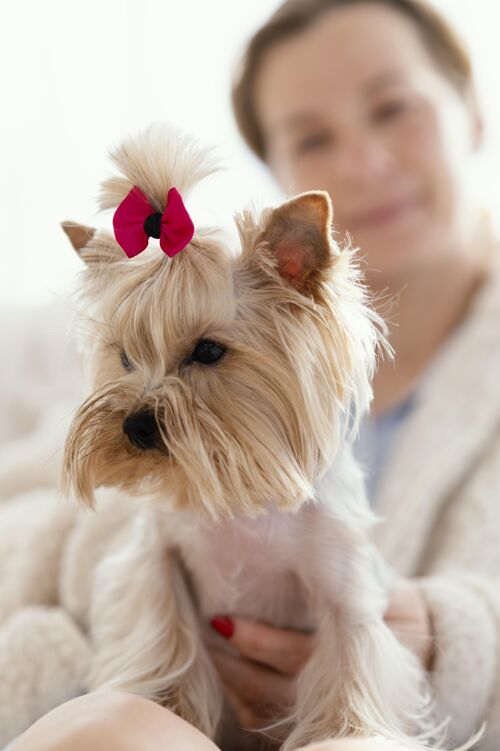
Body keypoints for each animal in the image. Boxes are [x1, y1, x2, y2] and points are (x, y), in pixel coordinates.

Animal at [60, 123, 444, 751]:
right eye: (125, 356)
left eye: (209, 351)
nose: (134, 426)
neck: (242, 494)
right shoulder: (157, 559)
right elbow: (164, 630)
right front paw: (164, 704)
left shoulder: (344, 589)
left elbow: (351, 661)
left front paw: (350, 731)